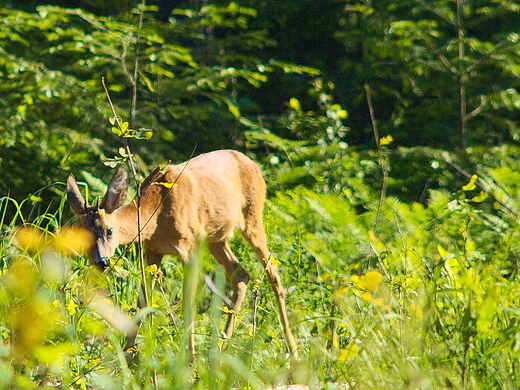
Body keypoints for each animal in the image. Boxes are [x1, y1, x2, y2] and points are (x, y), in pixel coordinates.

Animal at [67, 151, 298, 358]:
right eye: (81, 235)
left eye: (110, 230)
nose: (102, 263)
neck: (157, 218)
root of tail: (252, 163)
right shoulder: (152, 250)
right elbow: (143, 302)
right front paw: (128, 359)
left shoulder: (190, 246)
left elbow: (188, 305)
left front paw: (189, 361)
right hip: (216, 238)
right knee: (241, 274)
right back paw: (221, 349)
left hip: (252, 216)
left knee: (273, 274)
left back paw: (292, 351)